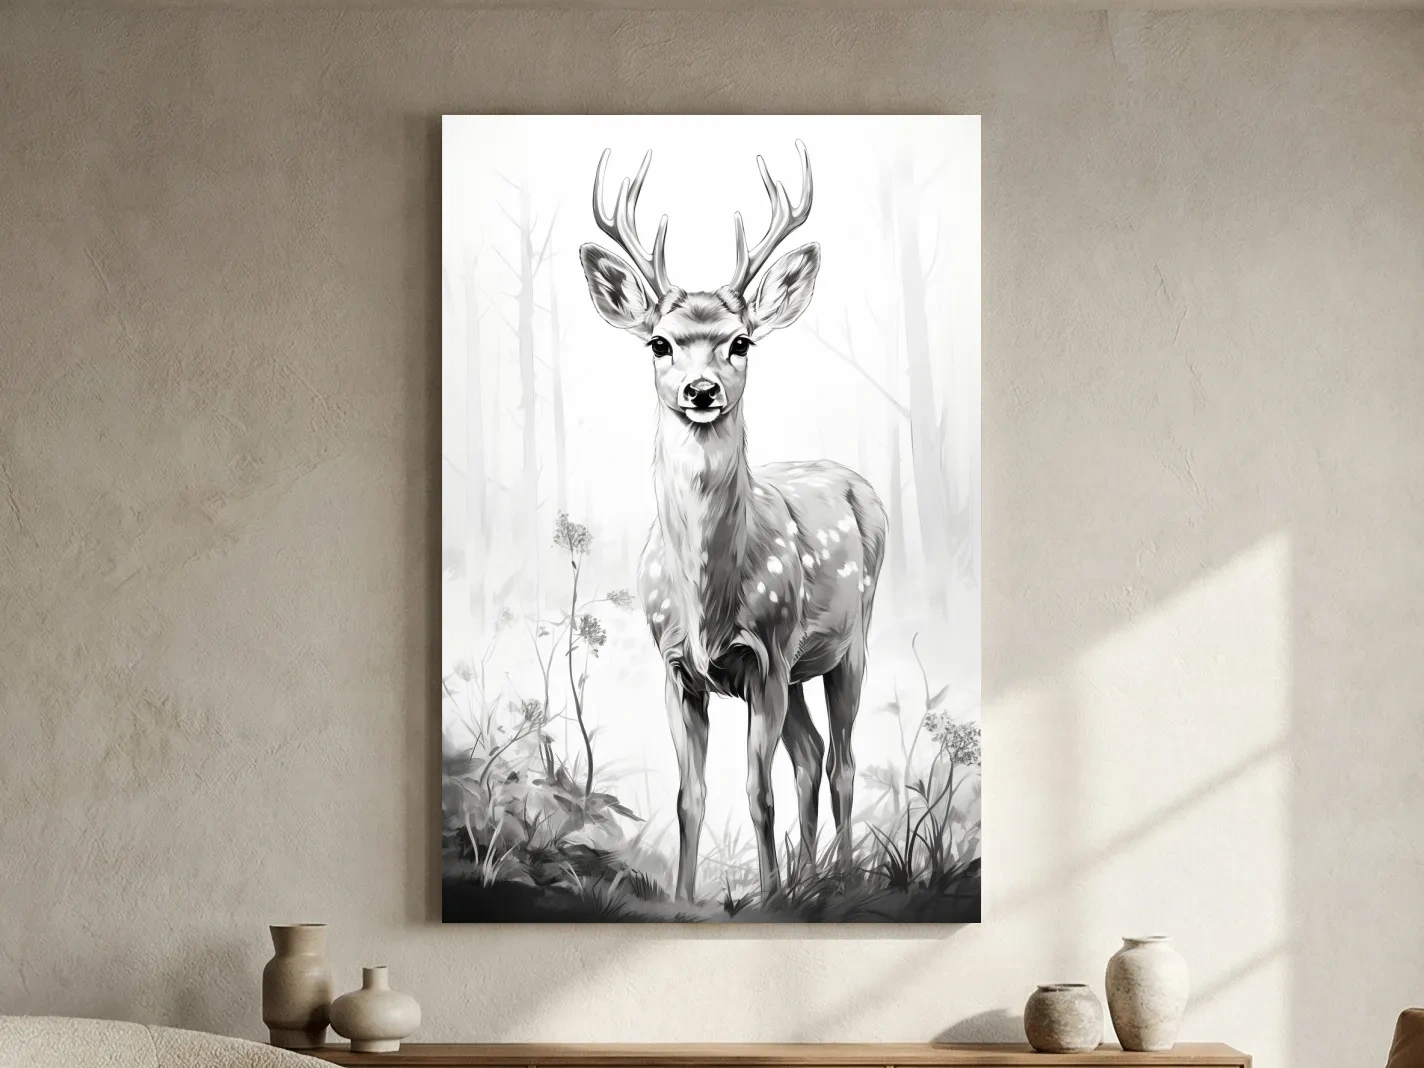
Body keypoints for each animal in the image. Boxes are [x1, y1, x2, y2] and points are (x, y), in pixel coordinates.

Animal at [577, 141, 887, 903]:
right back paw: (810, 878)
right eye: (659, 344)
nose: (701, 390)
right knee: (810, 752)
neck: (707, 606)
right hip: (802, 668)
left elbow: (757, 792)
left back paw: (836, 880)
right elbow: (690, 798)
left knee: (841, 759)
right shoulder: (677, 668)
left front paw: (770, 900)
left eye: (741, 342)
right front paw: (685, 901)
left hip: (851, 640)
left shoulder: (767, 656)